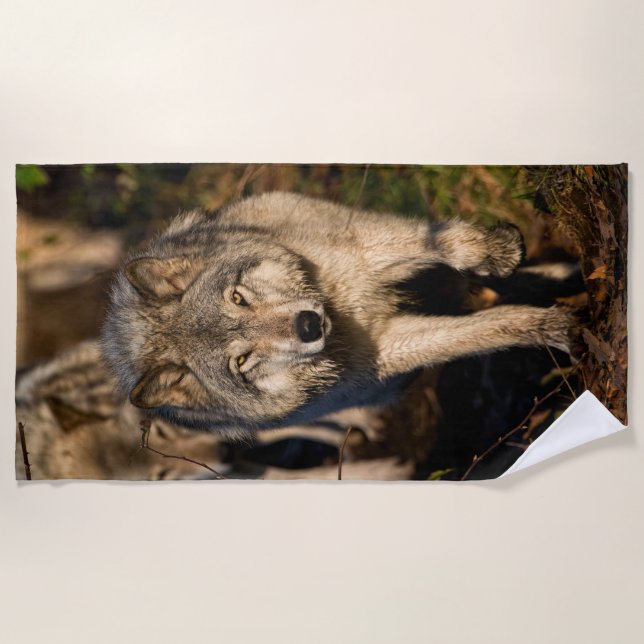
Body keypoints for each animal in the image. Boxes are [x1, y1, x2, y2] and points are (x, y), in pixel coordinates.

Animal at [102, 192, 572, 437]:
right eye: (242, 361)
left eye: (237, 297)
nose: (307, 325)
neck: (342, 311)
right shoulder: (388, 348)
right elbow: (491, 330)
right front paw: (556, 328)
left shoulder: (360, 246)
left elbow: (453, 246)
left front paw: (498, 252)